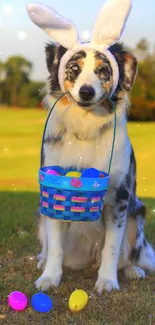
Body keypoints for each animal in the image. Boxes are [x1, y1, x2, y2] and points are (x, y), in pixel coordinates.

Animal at [26, 0, 155, 292]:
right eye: (74, 68)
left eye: (103, 71)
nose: (86, 92)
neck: (85, 127)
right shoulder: (54, 190)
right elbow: (56, 246)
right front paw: (50, 277)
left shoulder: (120, 198)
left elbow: (112, 246)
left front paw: (107, 280)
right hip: (40, 218)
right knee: (48, 245)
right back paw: (42, 260)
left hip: (138, 214)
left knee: (131, 252)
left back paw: (132, 270)